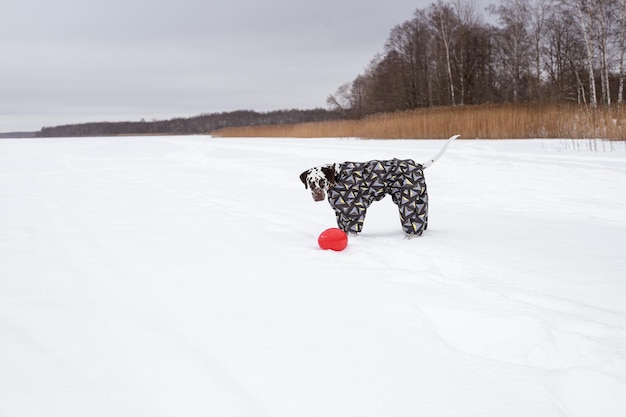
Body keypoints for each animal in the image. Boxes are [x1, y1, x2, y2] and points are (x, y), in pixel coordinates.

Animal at [300, 134, 456, 236]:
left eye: (322, 181)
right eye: (311, 183)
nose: (318, 197)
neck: (338, 175)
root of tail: (418, 165)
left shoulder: (354, 211)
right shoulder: (340, 213)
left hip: (409, 204)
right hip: (420, 202)